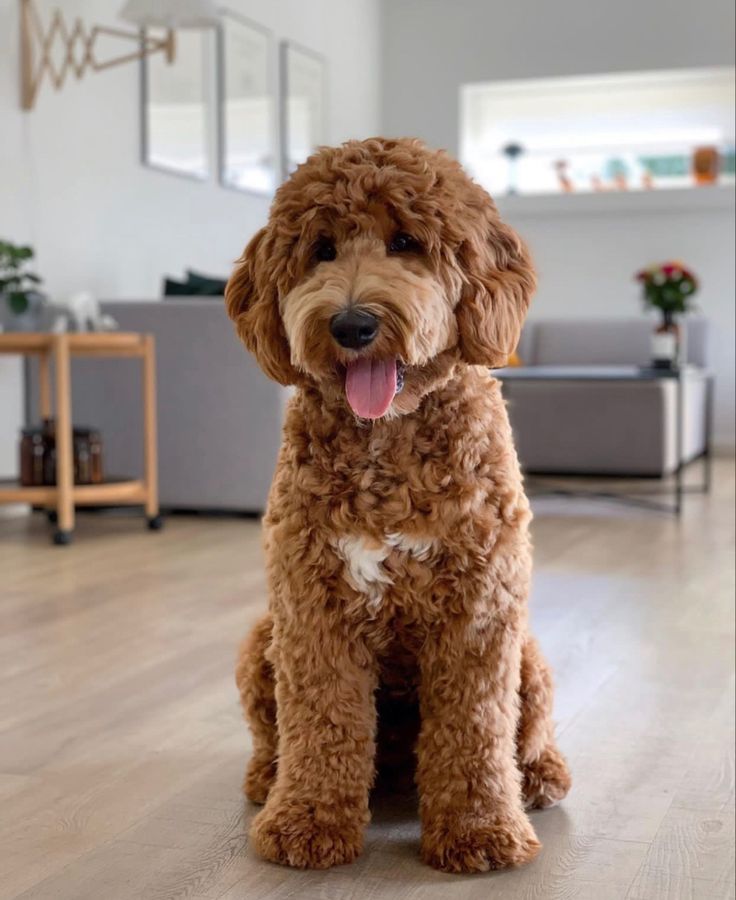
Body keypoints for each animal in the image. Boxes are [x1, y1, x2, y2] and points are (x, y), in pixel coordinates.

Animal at [227, 135, 572, 872]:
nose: (352, 323)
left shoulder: (479, 611)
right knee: (278, 736)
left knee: (525, 734)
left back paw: (539, 777)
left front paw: (479, 830)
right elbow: (322, 720)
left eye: (407, 241)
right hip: (262, 640)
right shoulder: (311, 610)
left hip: (527, 655)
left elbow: (475, 730)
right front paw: (305, 821)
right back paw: (268, 780)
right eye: (322, 249)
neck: (386, 439)